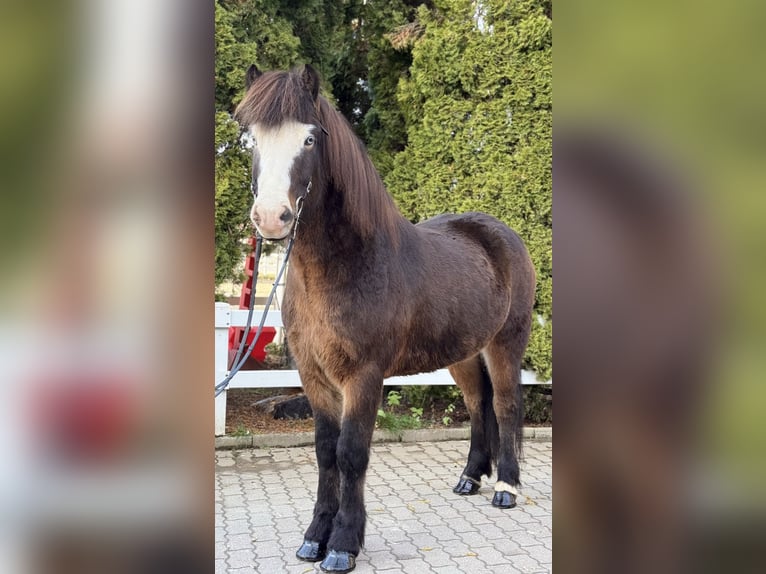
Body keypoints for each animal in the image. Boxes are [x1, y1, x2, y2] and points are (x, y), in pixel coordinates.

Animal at [234, 64, 536, 573]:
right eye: (250, 138)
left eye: (310, 139)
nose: (271, 218)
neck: (348, 264)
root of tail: (503, 234)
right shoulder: (314, 376)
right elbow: (325, 452)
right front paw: (313, 538)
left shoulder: (364, 376)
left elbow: (351, 454)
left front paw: (342, 544)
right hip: (463, 353)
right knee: (478, 405)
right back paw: (470, 479)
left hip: (505, 344)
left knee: (507, 405)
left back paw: (506, 488)